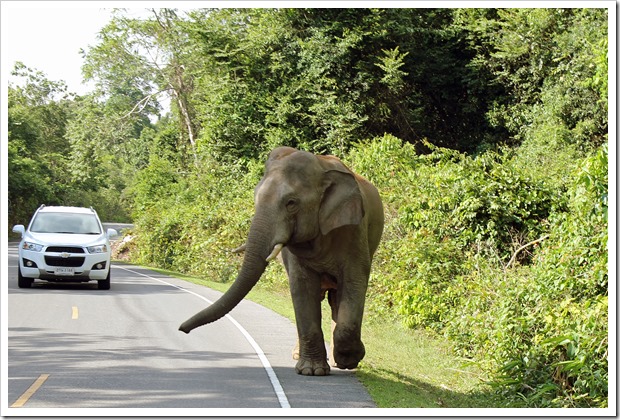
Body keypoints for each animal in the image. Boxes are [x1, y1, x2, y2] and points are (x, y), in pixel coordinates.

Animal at [178, 146, 382, 376]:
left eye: (291, 203)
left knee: (335, 298)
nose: (182, 329)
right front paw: (311, 371)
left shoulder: (354, 232)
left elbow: (354, 281)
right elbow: (302, 288)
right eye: (255, 197)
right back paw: (299, 355)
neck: (321, 167)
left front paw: (349, 360)